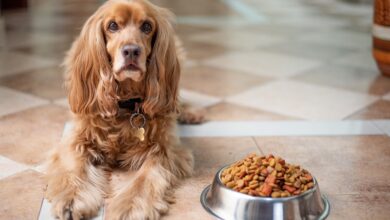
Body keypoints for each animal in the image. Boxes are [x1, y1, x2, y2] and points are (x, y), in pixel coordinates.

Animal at [45, 0, 198, 219]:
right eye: (112, 26)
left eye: (147, 26)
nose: (131, 51)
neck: (126, 104)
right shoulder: (76, 140)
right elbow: (75, 168)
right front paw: (72, 199)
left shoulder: (164, 150)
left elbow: (144, 179)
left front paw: (131, 207)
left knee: (177, 99)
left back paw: (190, 112)